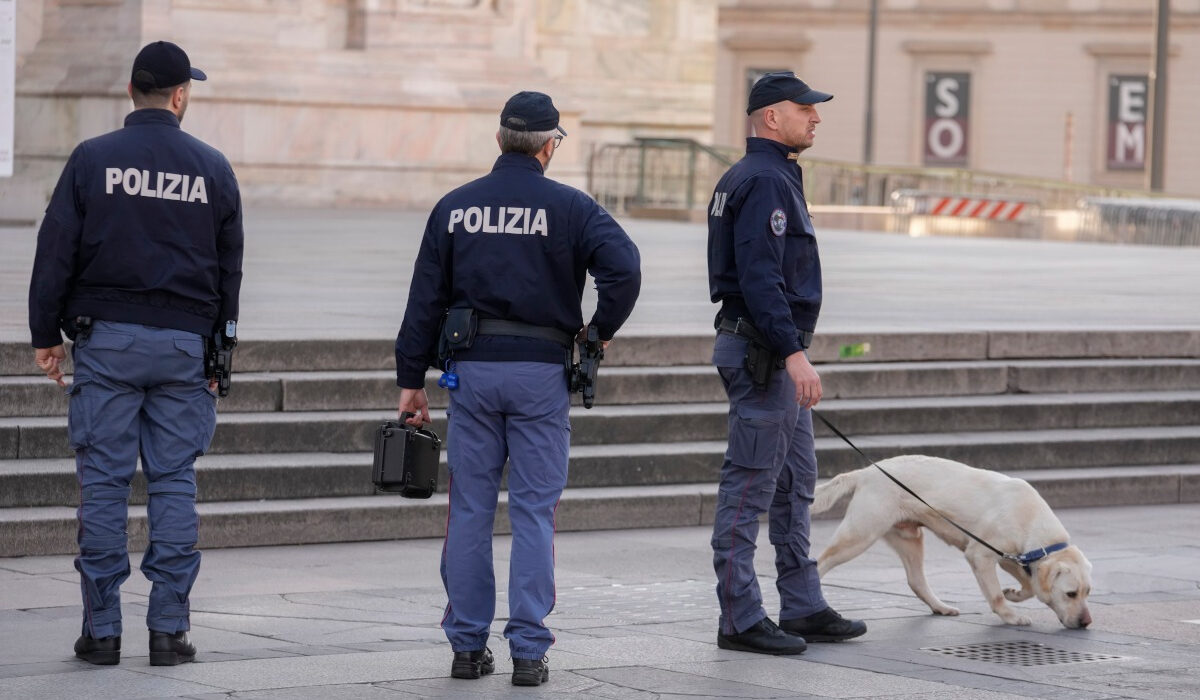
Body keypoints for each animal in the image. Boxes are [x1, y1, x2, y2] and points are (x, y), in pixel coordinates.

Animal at [811, 453, 1094, 629]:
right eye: (1070, 593)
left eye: (1087, 592)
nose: (1086, 623)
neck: (1032, 522)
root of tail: (866, 472)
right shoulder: (980, 555)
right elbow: (995, 595)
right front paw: (1011, 616)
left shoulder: (1011, 557)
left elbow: (1030, 585)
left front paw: (1014, 594)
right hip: (860, 534)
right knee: (819, 563)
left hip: (909, 538)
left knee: (916, 581)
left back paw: (941, 607)